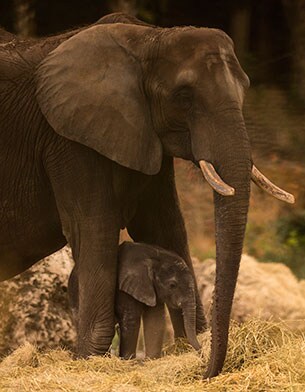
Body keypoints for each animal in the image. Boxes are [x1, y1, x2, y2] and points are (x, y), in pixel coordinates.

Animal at [0, 13, 294, 378]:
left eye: (246, 87)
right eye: (184, 96)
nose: (207, 371)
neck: (148, 39)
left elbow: (166, 227)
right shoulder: (67, 139)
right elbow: (95, 229)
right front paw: (91, 362)